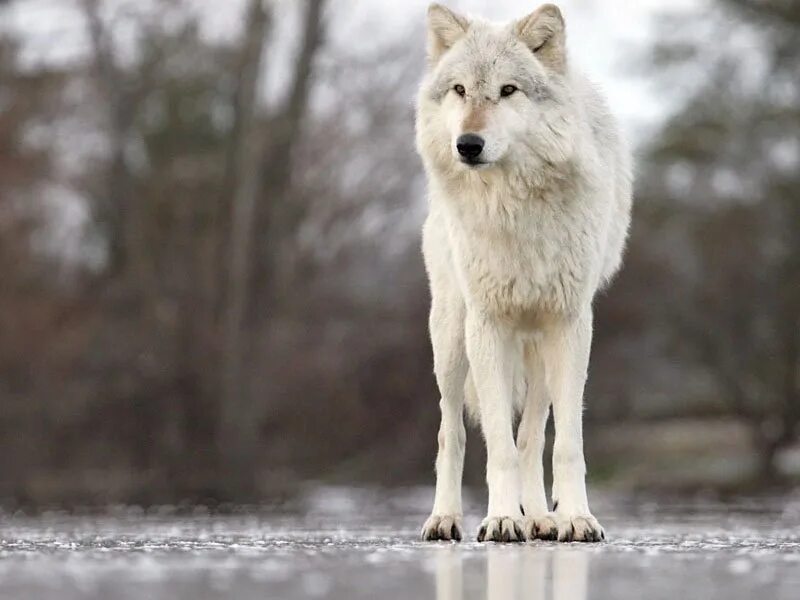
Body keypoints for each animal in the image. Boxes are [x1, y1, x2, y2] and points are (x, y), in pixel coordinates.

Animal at [418, 1, 632, 544]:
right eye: (460, 90)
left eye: (508, 90)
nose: (468, 144)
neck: (514, 210)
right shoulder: (488, 325)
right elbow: (497, 443)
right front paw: (499, 519)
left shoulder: (571, 324)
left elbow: (563, 443)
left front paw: (575, 517)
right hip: (451, 339)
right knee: (451, 431)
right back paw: (446, 518)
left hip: (537, 347)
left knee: (533, 434)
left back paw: (539, 516)